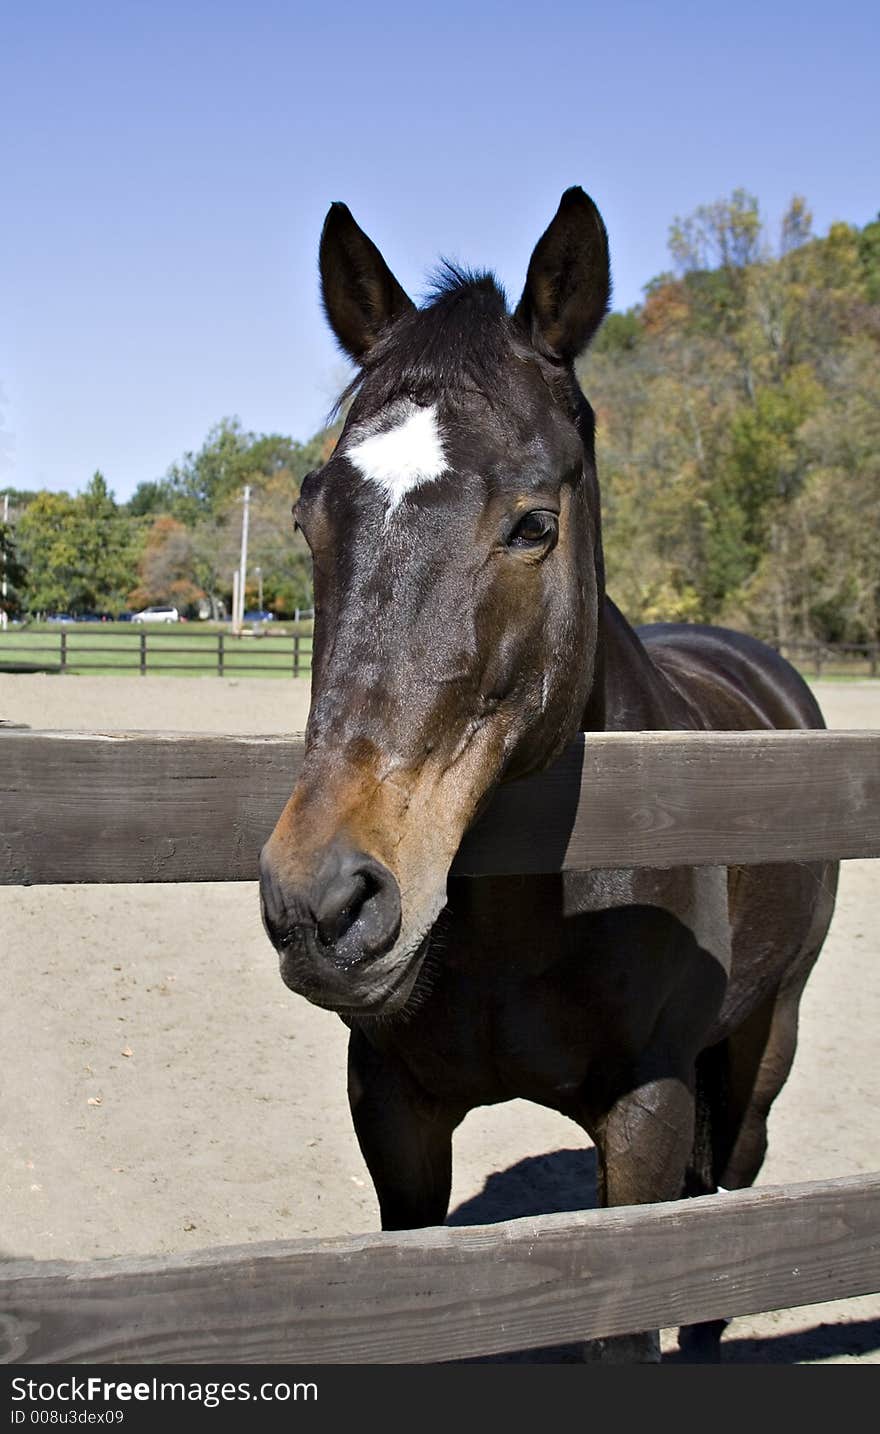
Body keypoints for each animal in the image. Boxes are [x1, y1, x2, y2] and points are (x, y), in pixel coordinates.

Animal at [256, 190, 842, 1365]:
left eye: (534, 523)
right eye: (308, 516)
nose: (323, 902)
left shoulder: (647, 1115)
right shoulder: (394, 1115)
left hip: (768, 1034)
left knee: (726, 1215)